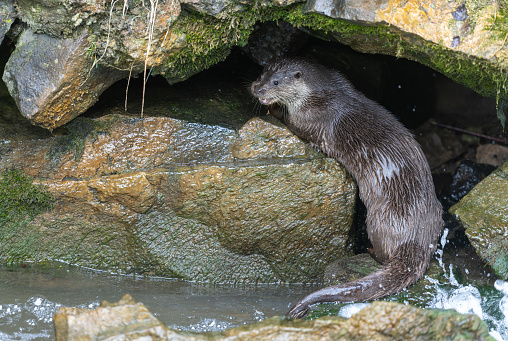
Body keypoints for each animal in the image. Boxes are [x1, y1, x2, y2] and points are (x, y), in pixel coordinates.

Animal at [252, 57, 442, 318]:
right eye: (262, 73)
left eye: (276, 82)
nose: (256, 88)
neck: (321, 94)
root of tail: (417, 238)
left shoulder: (311, 120)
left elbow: (293, 125)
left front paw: (274, 110)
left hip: (380, 219)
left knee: (384, 254)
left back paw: (371, 251)